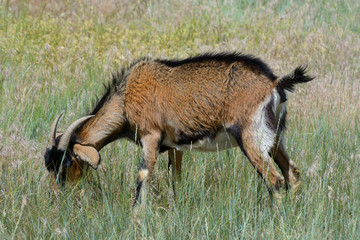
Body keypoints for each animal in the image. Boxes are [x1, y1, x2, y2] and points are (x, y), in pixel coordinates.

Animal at [45, 52, 314, 204]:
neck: (125, 97)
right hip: (275, 137)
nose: (58, 197)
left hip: (251, 138)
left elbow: (142, 178)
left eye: (67, 163)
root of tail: (275, 83)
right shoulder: (175, 146)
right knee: (292, 173)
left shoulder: (151, 136)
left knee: (275, 181)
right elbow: (176, 179)